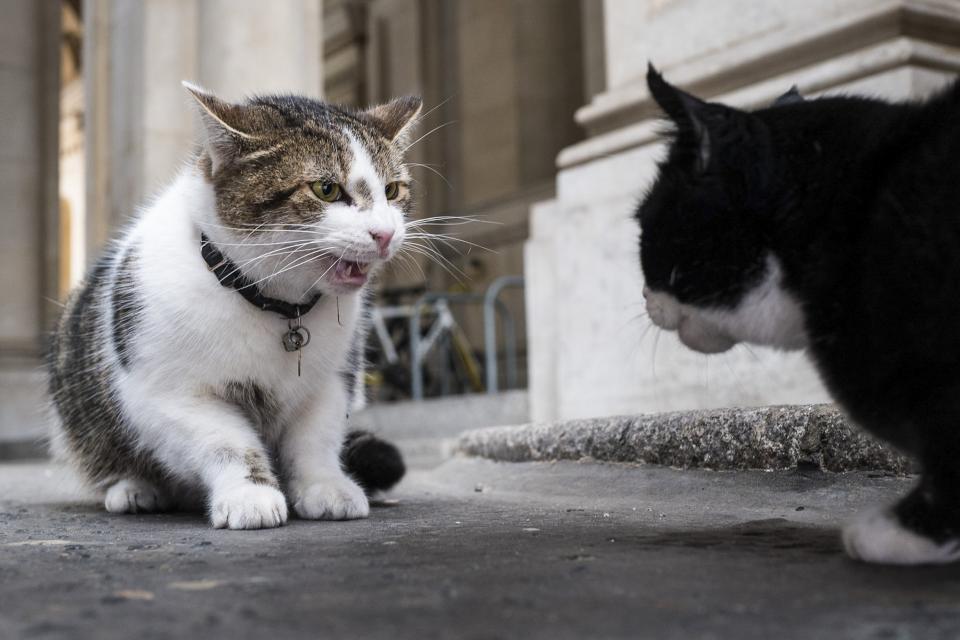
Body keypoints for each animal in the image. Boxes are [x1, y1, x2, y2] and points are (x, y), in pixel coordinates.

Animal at [47, 82, 416, 528]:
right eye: (326, 189)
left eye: (392, 190)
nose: (385, 234)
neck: (276, 306)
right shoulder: (170, 394)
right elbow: (227, 443)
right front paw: (250, 495)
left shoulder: (332, 381)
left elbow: (315, 439)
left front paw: (325, 486)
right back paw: (134, 488)